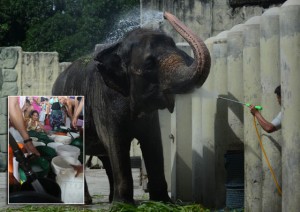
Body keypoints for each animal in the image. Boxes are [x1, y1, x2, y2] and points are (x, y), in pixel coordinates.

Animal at [51, 11, 210, 204]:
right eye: (149, 64)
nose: (164, 14)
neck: (117, 48)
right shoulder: (104, 99)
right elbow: (117, 143)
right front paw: (124, 205)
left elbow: (153, 142)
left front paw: (163, 202)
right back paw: (87, 201)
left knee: (105, 158)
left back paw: (109, 199)